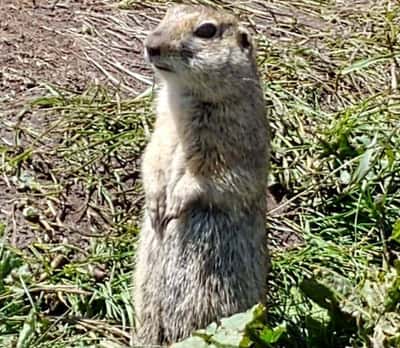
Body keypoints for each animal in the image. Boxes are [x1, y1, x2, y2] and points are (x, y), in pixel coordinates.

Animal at [134, 4, 268, 346]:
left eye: (206, 30)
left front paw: (173, 207)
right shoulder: (162, 128)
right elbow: (152, 157)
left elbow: (213, 177)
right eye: (168, 13)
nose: (150, 44)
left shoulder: (229, 137)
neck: (180, 95)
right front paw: (155, 205)